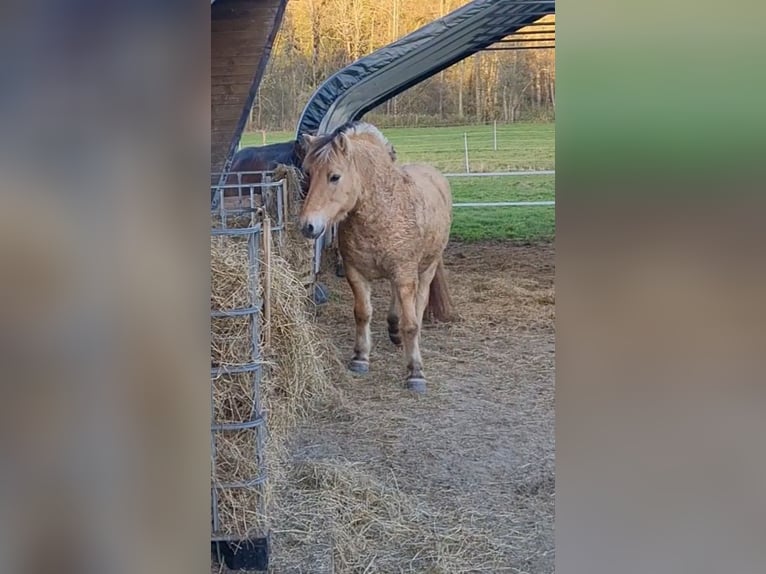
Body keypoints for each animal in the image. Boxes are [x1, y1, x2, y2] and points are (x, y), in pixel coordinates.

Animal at [296, 119, 452, 394]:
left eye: (334, 176)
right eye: (307, 174)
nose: (308, 226)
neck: (383, 209)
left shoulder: (404, 274)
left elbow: (411, 323)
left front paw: (415, 372)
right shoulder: (356, 274)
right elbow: (362, 314)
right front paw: (360, 358)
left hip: (427, 269)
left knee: (419, 304)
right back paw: (393, 328)